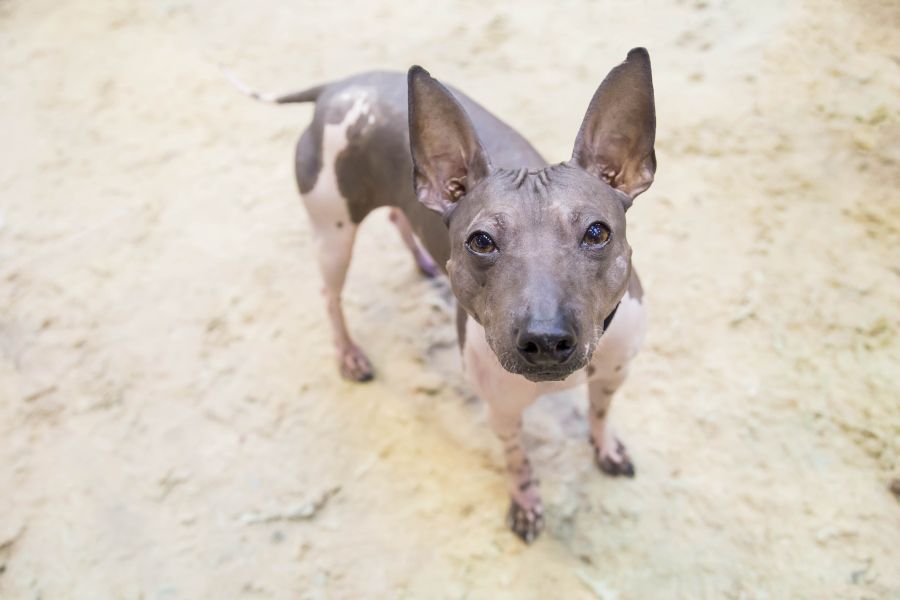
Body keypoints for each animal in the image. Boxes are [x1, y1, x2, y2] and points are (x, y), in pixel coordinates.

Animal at [229, 49, 656, 540]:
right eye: (481, 242)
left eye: (596, 232)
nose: (545, 340)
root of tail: (338, 87)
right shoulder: (501, 412)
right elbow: (518, 461)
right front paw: (526, 504)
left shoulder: (614, 373)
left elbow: (599, 413)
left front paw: (605, 447)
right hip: (332, 234)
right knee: (330, 296)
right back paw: (349, 354)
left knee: (399, 215)